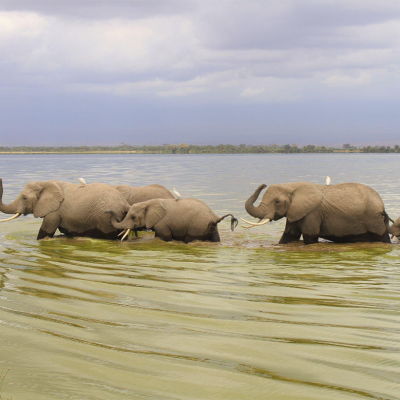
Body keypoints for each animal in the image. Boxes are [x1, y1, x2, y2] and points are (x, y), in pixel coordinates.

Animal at [0, 179, 129, 241]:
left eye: (24, 198)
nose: (1, 179)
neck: (45, 183)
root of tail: (126, 204)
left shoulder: (54, 212)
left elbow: (45, 232)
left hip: (105, 218)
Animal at [106, 198, 238, 242]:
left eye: (133, 217)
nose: (107, 211)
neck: (147, 203)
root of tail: (215, 218)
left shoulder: (162, 224)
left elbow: (165, 238)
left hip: (197, 227)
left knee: (189, 239)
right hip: (212, 228)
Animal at [244, 181, 390, 244]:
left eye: (277, 201)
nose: (264, 185)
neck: (291, 186)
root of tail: (381, 205)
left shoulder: (312, 213)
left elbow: (310, 238)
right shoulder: (295, 211)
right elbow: (289, 236)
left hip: (373, 218)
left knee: (382, 237)